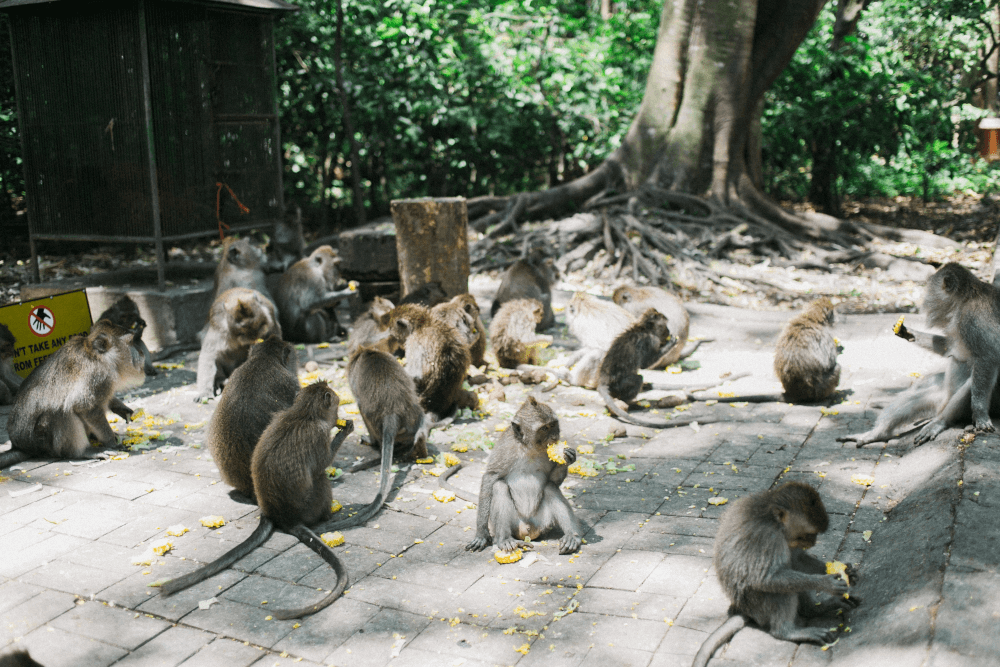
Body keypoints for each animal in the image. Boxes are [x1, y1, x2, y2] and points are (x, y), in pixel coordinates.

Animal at [0, 320, 145, 470]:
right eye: (131, 342)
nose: (141, 353)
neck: (98, 356)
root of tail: (20, 446)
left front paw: (120, 407)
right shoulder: (98, 376)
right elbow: (85, 407)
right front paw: (112, 442)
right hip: (43, 442)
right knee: (60, 411)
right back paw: (84, 452)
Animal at [162, 384, 354, 624]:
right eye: (335, 408)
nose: (338, 418)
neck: (304, 413)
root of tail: (278, 515)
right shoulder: (318, 433)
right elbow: (324, 463)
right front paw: (344, 431)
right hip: (311, 506)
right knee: (320, 478)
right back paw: (328, 515)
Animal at [462, 400, 584, 556]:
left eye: (553, 425)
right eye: (544, 428)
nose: (555, 437)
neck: (529, 448)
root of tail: (528, 529)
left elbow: (553, 481)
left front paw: (567, 458)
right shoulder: (505, 446)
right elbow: (490, 477)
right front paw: (481, 534)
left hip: (543, 522)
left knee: (550, 487)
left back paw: (572, 537)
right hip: (514, 523)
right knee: (499, 486)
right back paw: (505, 540)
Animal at [696, 482, 860, 664]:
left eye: (815, 535)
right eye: (809, 534)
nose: (813, 542)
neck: (773, 519)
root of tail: (743, 609)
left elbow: (797, 560)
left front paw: (847, 572)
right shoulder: (769, 537)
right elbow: (766, 579)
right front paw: (826, 583)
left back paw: (814, 610)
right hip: (757, 603)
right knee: (779, 590)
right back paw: (787, 631)